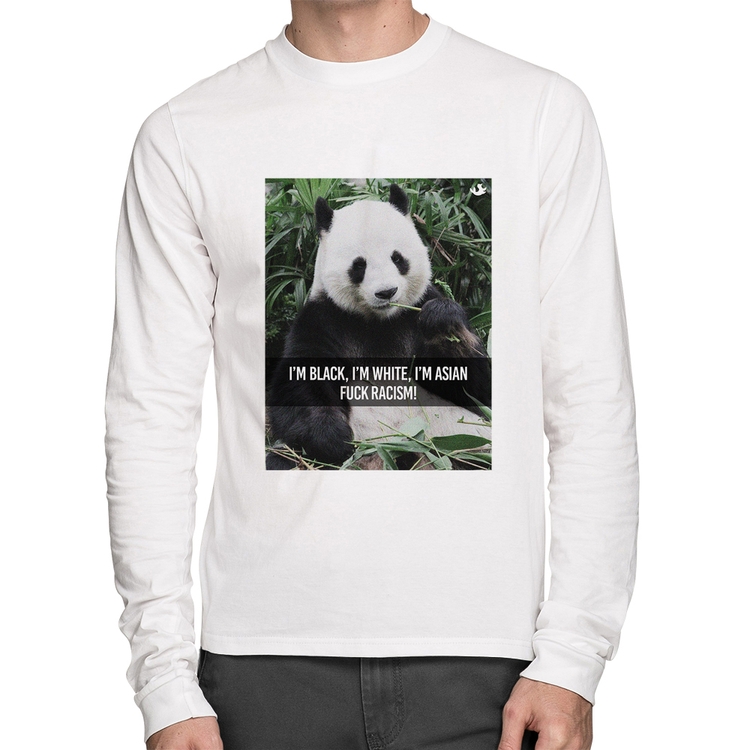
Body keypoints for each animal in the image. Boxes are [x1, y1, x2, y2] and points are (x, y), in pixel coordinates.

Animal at [266, 183, 491, 470]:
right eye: (359, 265)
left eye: (398, 258)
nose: (387, 292)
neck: (380, 322)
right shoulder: (324, 320)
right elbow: (300, 385)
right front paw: (334, 440)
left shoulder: (416, 312)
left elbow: (475, 390)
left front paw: (441, 320)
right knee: (282, 459)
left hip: (464, 443)